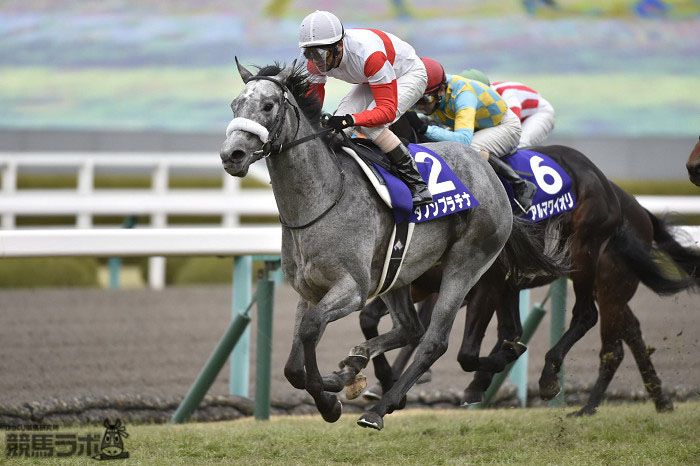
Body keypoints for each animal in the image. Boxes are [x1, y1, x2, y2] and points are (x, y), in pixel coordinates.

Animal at [219, 61, 566, 430]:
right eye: (235, 105)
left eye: (268, 105)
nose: (232, 154)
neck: (321, 199)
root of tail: (487, 168)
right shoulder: (309, 289)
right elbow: (293, 368)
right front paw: (337, 383)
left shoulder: (353, 288)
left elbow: (312, 329)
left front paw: (330, 401)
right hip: (398, 272)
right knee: (410, 328)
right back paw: (360, 363)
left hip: (466, 265)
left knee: (433, 341)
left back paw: (379, 408)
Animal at [360, 113, 700, 415]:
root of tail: (620, 196)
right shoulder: (421, 282)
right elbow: (374, 319)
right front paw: (383, 384)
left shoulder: (483, 282)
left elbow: (464, 350)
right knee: (627, 332)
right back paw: (660, 401)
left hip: (592, 263)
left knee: (591, 321)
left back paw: (563, 388)